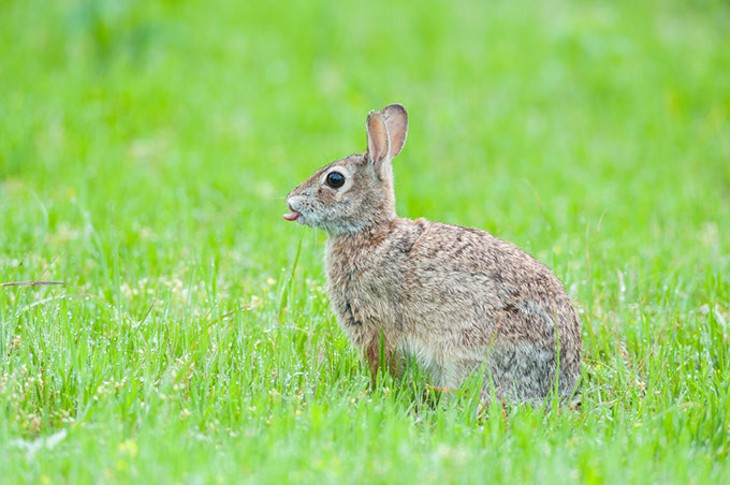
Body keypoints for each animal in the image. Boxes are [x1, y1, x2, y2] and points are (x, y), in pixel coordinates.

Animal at [284, 104, 580, 398]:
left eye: (335, 179)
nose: (291, 200)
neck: (371, 233)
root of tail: (561, 384)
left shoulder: (377, 325)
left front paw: (374, 391)